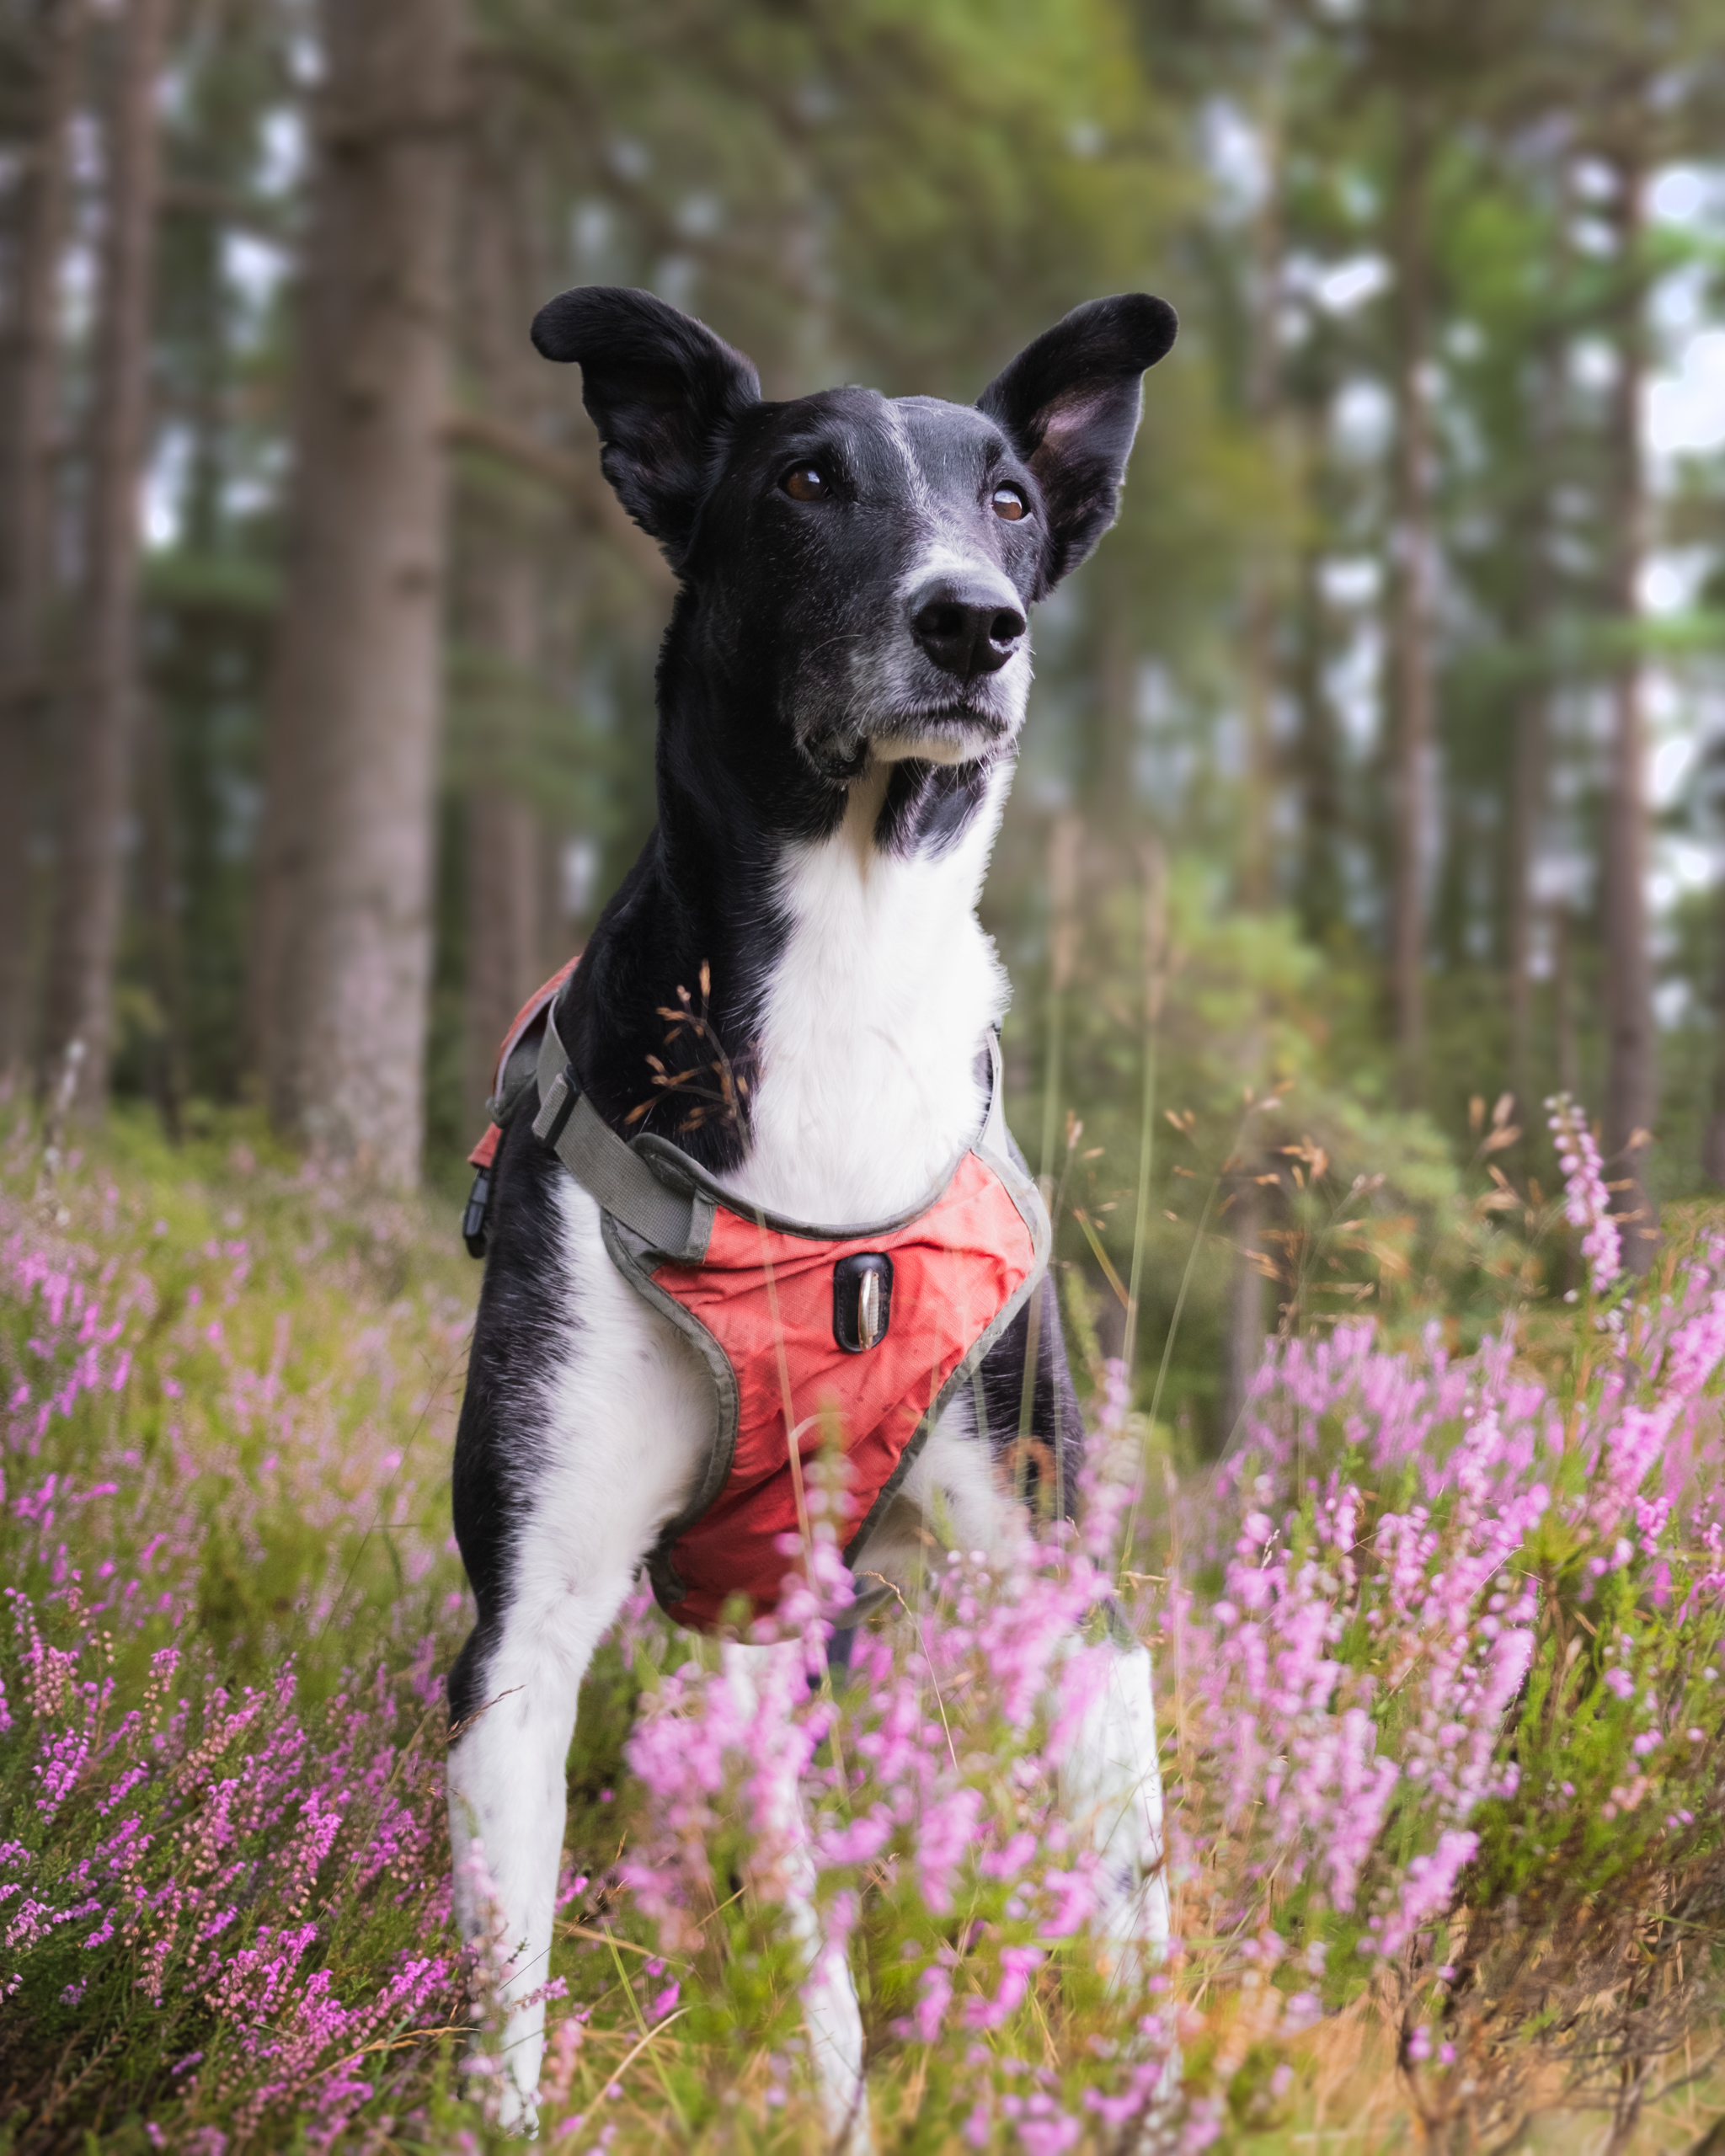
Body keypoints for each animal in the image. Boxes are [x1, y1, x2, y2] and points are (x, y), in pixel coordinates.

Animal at [448, 286, 1172, 2138]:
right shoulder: (522, 1639)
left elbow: (1133, 1926)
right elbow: (503, 2012)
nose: (973, 622)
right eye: (803, 481)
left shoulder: (1067, 1590)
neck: (844, 957)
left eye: (1006, 495)